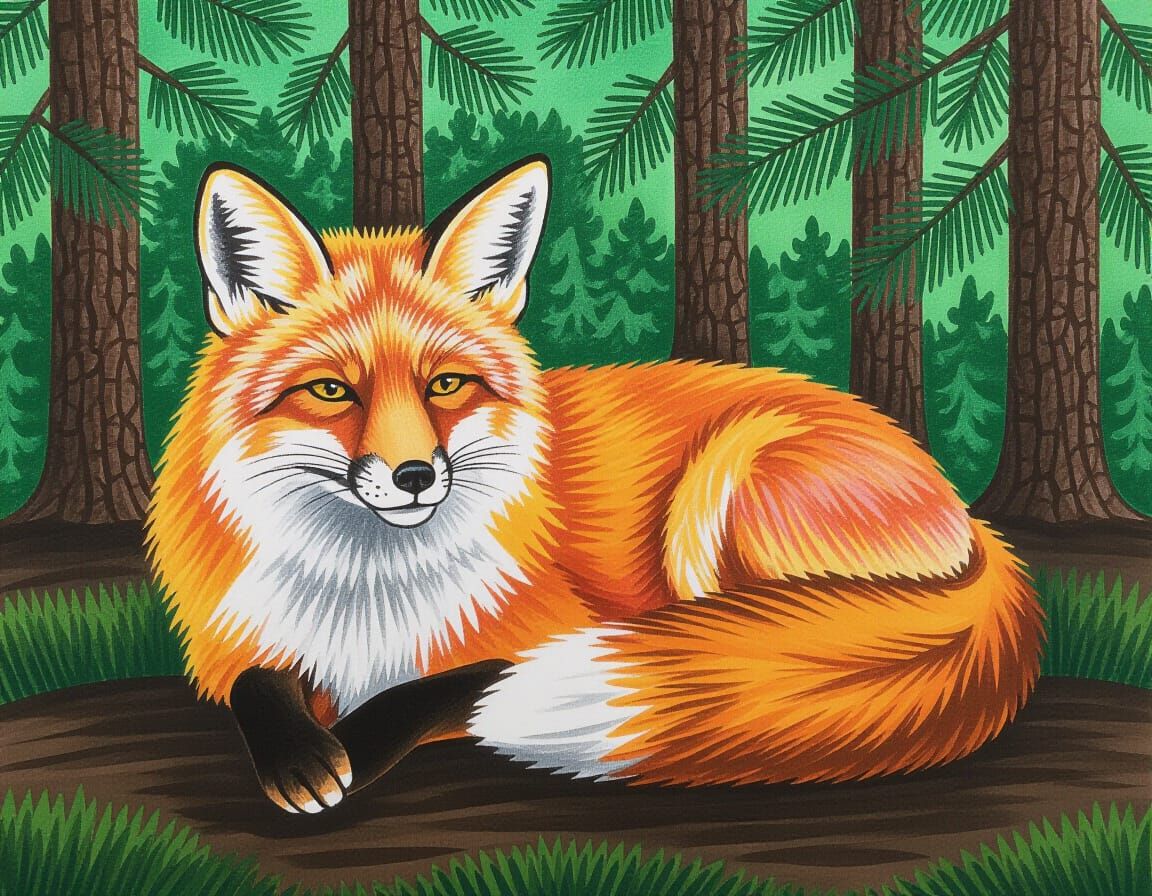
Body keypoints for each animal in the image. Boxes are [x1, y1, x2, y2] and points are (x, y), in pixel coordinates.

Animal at [146, 156, 1044, 815]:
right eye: (332, 391)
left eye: (445, 385)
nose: (414, 476)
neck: (367, 594)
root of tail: (972, 523)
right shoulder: (242, 639)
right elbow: (258, 683)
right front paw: (300, 751)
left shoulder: (545, 628)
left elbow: (448, 688)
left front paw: (353, 747)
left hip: (724, 480)